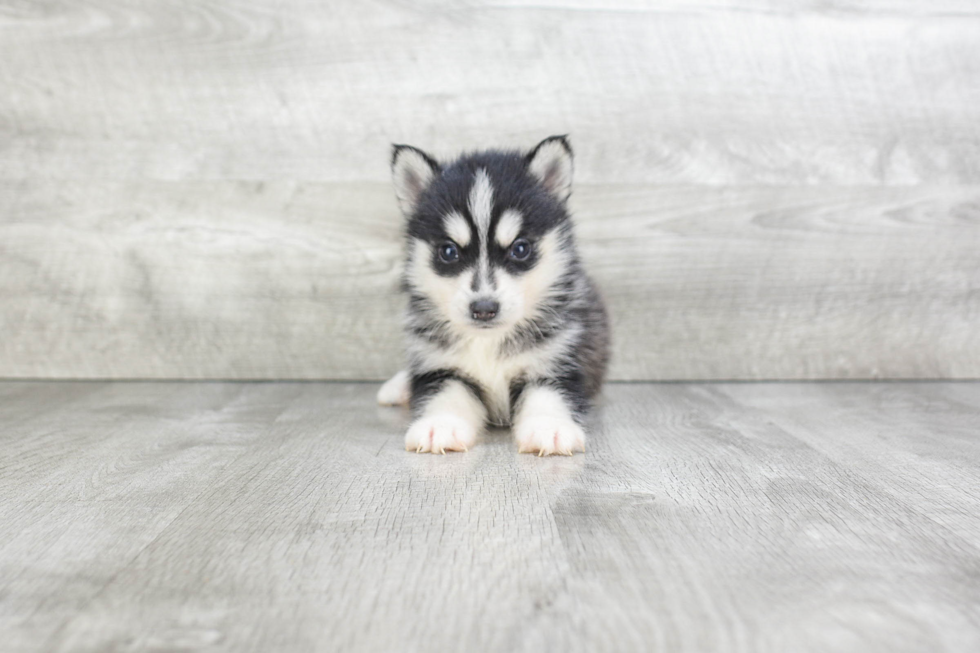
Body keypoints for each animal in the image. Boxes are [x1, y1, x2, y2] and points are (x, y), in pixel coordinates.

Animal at [378, 136, 608, 456]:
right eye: (448, 251)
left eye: (520, 249)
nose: (484, 308)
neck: (488, 343)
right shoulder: (443, 368)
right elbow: (445, 392)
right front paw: (440, 425)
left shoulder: (558, 360)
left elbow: (548, 394)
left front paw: (548, 427)